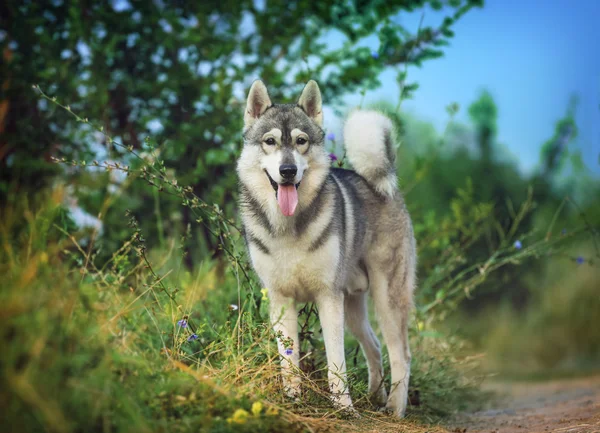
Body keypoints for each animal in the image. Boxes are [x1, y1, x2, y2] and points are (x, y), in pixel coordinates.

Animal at [237, 80, 414, 416]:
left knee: (401, 355)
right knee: (374, 346)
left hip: (386, 298)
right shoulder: (281, 300)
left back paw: (395, 409)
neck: (289, 226)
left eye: (301, 141)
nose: (288, 170)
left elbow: (336, 362)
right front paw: (293, 401)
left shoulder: (327, 298)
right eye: (270, 141)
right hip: (353, 306)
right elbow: (289, 361)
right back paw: (375, 396)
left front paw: (344, 409)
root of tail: (382, 182)